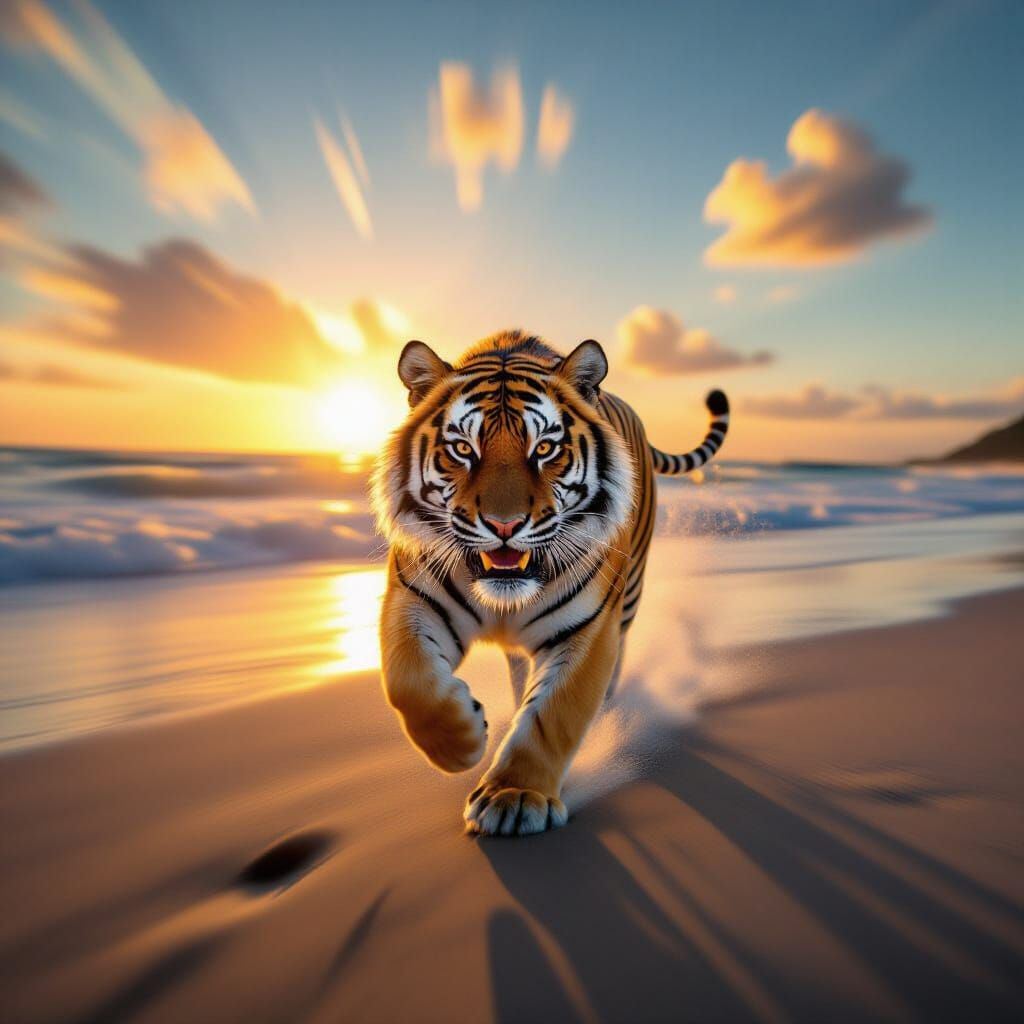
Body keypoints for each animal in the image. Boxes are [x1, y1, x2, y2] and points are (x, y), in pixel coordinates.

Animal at [371, 330, 729, 836]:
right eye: (463, 449)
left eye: (544, 449)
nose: (504, 525)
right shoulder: (413, 598)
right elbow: (407, 680)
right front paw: (462, 741)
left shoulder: (587, 629)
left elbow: (552, 715)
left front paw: (516, 796)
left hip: (629, 598)